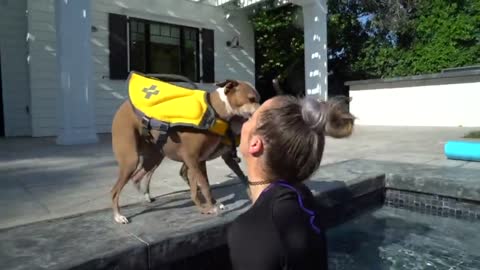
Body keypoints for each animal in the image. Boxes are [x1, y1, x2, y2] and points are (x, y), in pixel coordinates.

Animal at [110, 71, 260, 224]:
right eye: (251, 99)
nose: (261, 111)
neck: (215, 112)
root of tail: (124, 106)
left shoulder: (201, 160)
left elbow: (204, 185)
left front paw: (207, 206)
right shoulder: (192, 158)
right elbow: (204, 185)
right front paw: (210, 207)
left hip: (154, 157)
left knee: (137, 178)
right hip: (131, 159)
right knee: (115, 191)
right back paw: (118, 216)